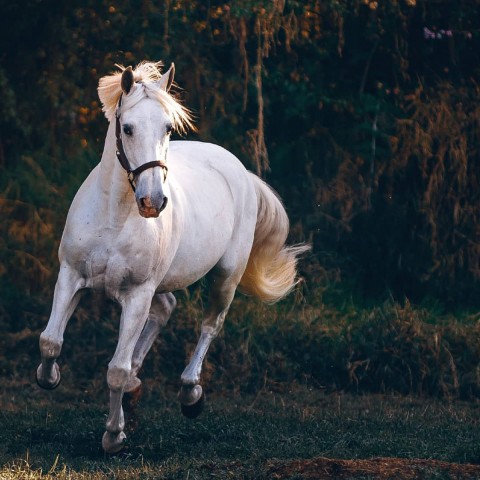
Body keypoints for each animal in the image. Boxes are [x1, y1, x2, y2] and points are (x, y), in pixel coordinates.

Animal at [36, 62, 308, 452]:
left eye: (167, 127)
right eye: (127, 128)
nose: (153, 202)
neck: (114, 216)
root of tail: (239, 170)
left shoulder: (137, 294)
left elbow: (115, 370)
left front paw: (114, 435)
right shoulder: (71, 276)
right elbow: (50, 341)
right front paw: (52, 377)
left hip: (226, 275)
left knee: (210, 325)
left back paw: (190, 394)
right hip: (160, 283)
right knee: (166, 309)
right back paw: (137, 388)